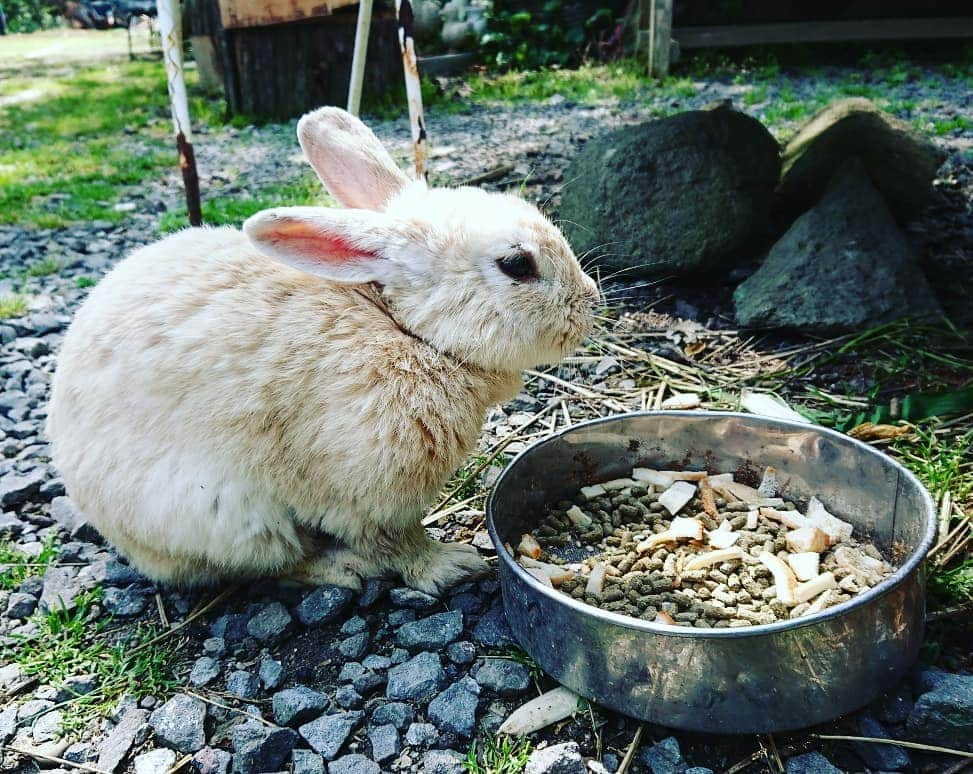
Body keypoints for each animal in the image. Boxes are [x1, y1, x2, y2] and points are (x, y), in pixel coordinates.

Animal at [47, 109, 600, 596]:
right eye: (517, 264)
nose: (591, 301)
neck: (405, 330)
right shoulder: (367, 493)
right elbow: (396, 541)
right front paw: (451, 566)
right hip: (226, 516)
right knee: (268, 565)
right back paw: (340, 570)